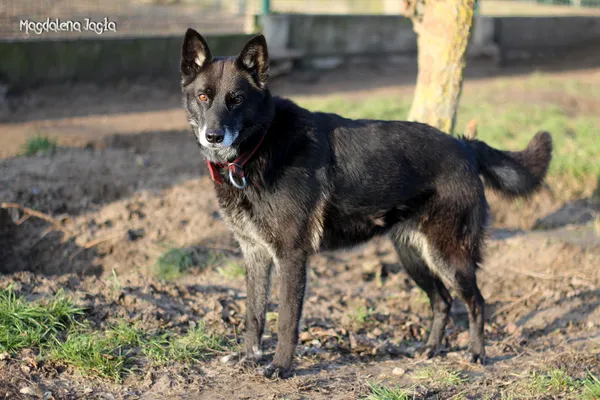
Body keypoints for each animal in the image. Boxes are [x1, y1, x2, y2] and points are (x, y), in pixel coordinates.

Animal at [179, 28, 552, 378]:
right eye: (203, 96)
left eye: (237, 100)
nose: (213, 136)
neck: (260, 145)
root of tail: (466, 147)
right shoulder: (255, 254)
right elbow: (253, 314)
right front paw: (249, 357)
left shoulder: (291, 256)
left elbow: (285, 320)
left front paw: (281, 367)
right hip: (413, 257)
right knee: (442, 302)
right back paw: (430, 349)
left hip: (448, 256)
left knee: (476, 301)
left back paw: (476, 353)